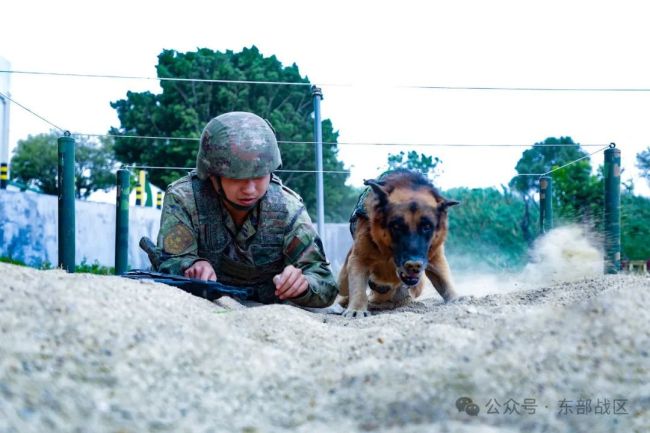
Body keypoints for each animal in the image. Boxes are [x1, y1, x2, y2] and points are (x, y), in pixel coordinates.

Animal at [336, 169, 458, 318]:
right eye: (396, 226)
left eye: (427, 226)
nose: (414, 264)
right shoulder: (359, 259)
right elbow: (358, 287)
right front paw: (356, 309)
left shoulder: (436, 259)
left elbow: (445, 282)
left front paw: (457, 300)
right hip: (342, 282)